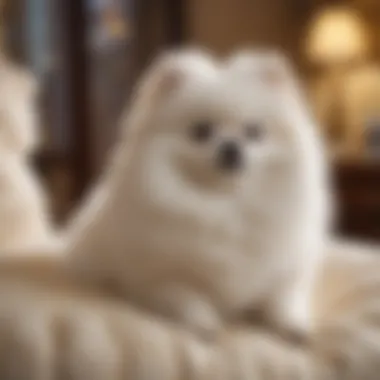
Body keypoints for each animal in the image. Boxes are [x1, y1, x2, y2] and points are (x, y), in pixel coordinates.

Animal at [68, 47, 332, 342]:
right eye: (201, 131)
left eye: (254, 132)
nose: (231, 147)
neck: (225, 205)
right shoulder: (158, 279)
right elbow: (186, 298)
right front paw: (205, 323)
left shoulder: (286, 270)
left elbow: (283, 299)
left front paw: (293, 325)